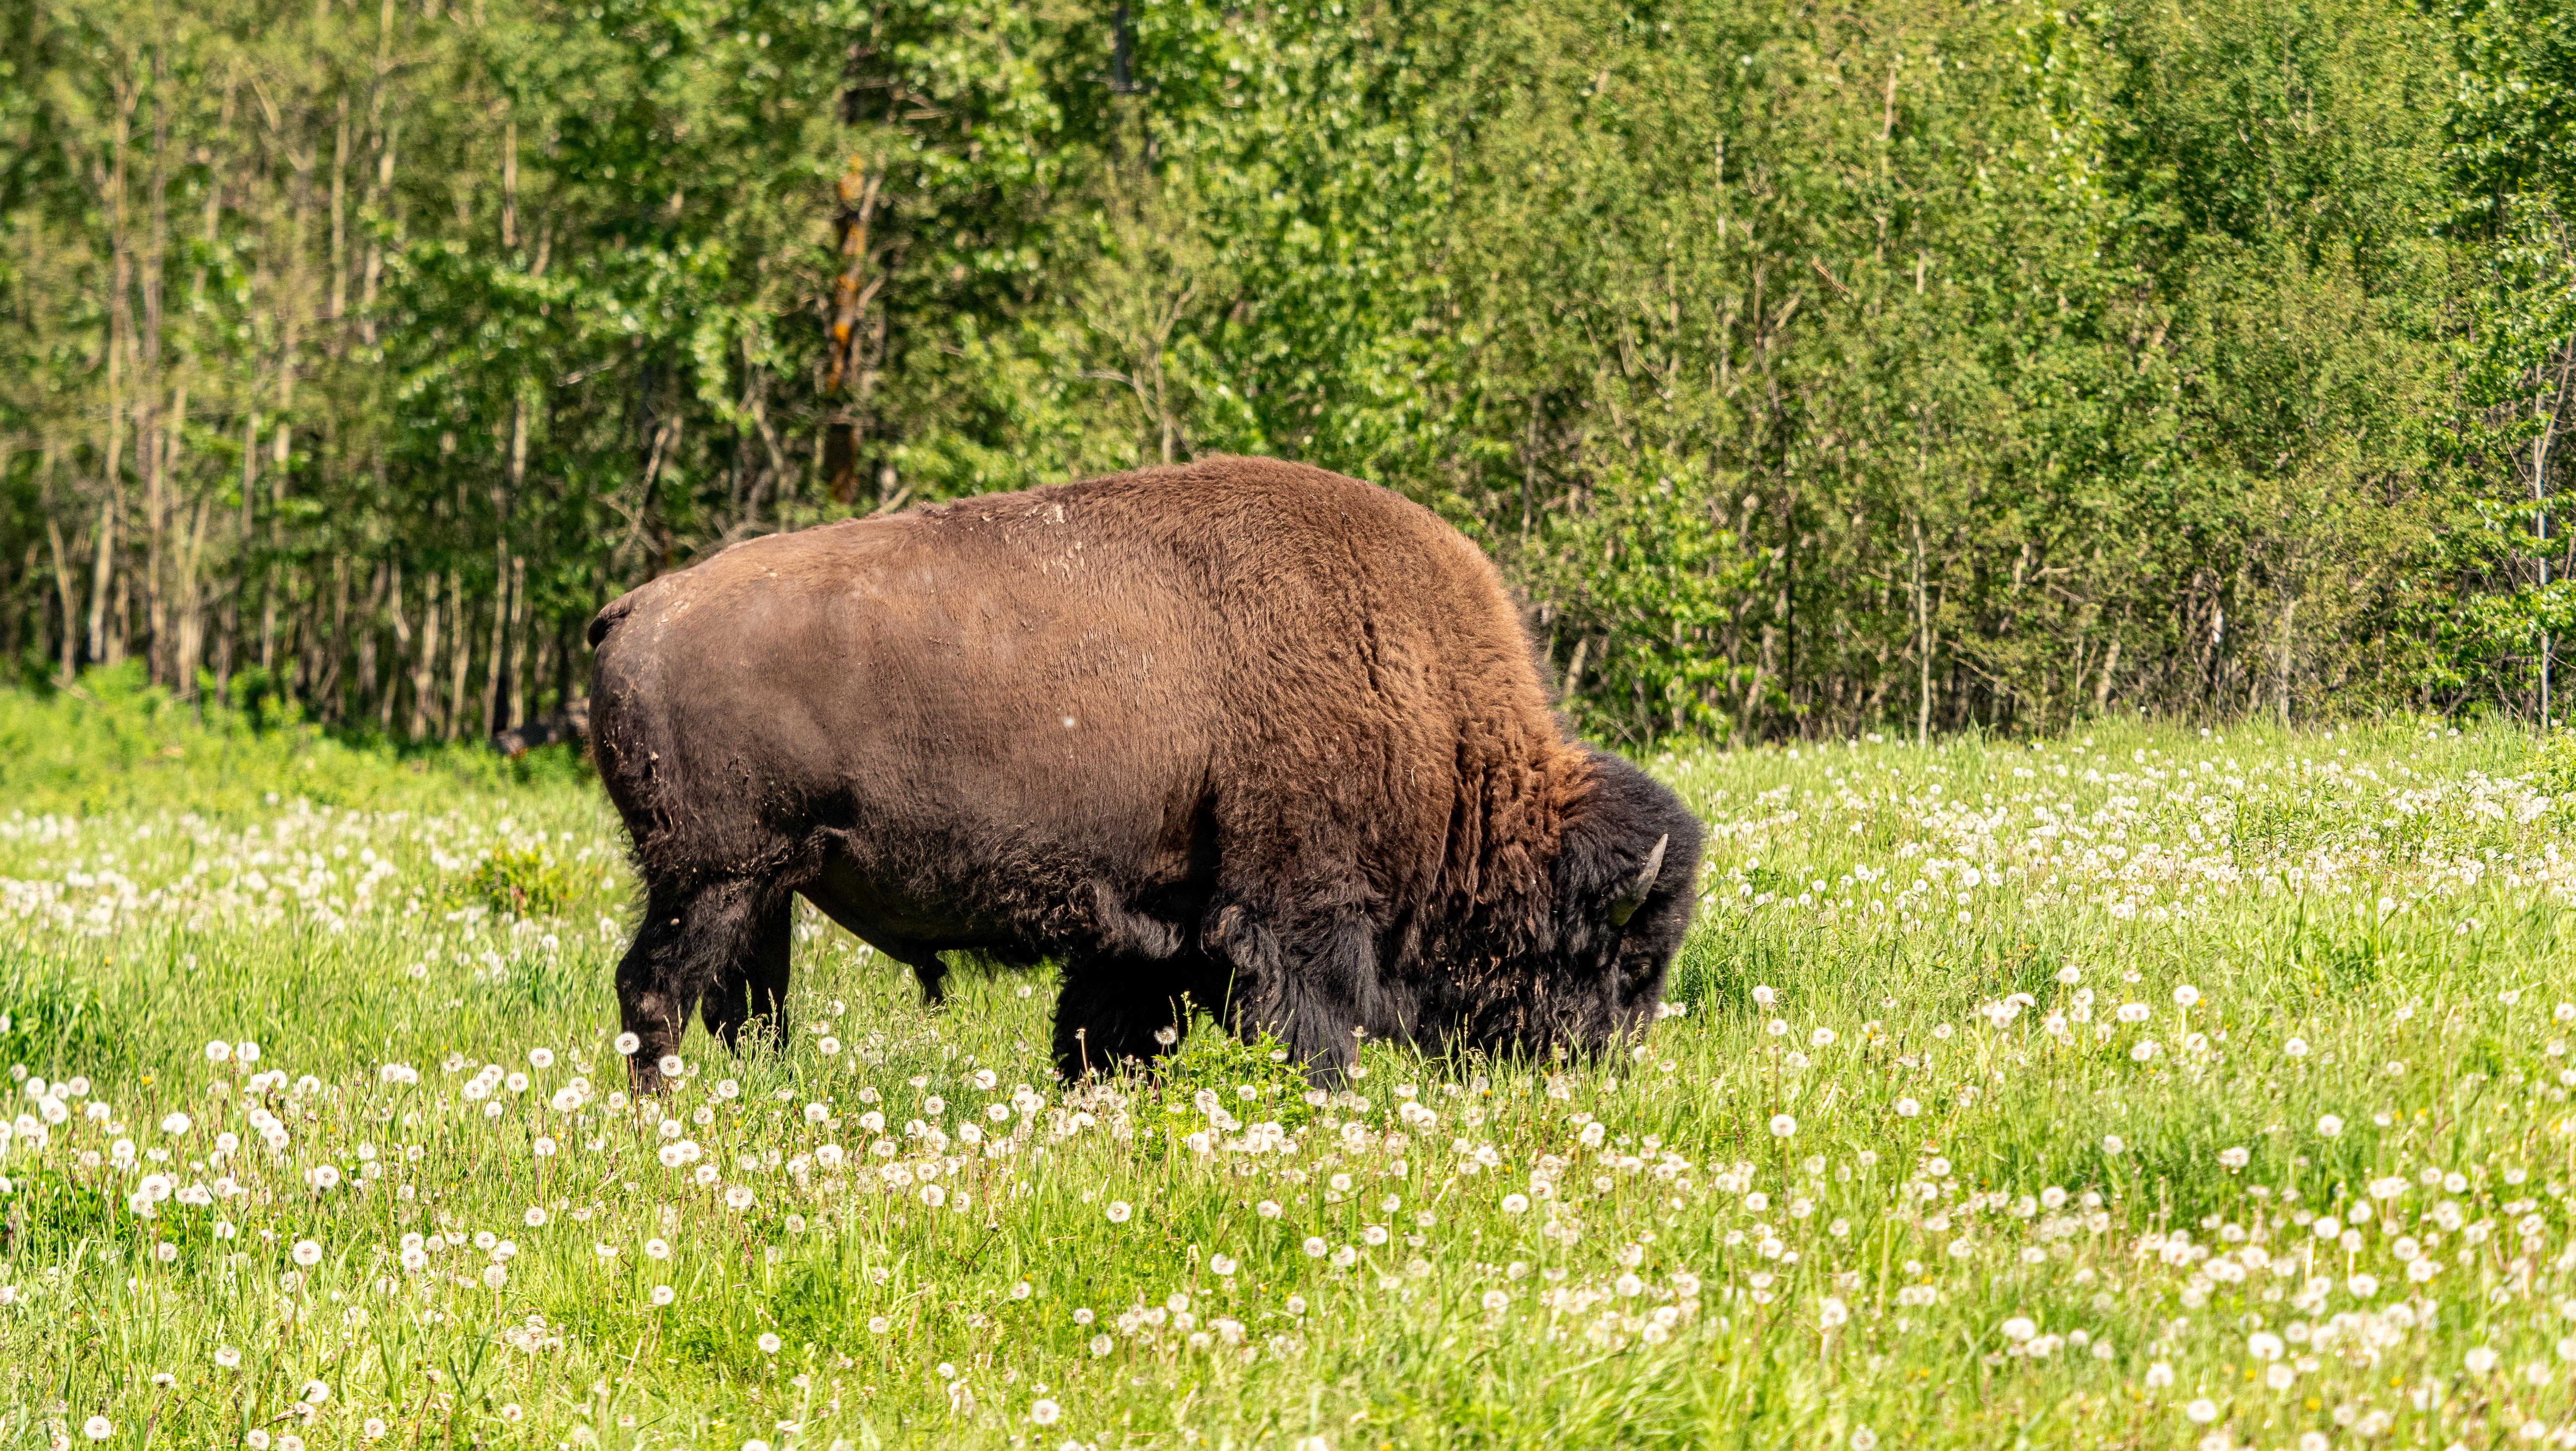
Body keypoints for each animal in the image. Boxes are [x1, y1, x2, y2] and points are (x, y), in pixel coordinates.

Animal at [590, 456, 1710, 1093]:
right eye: (1621, 962)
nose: (1603, 1068)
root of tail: (640, 606)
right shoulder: (1298, 915)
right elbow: (1312, 1028)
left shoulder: (1145, 927)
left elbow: (1105, 1030)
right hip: (714, 878)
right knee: (657, 991)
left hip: (760, 888)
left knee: (745, 1006)